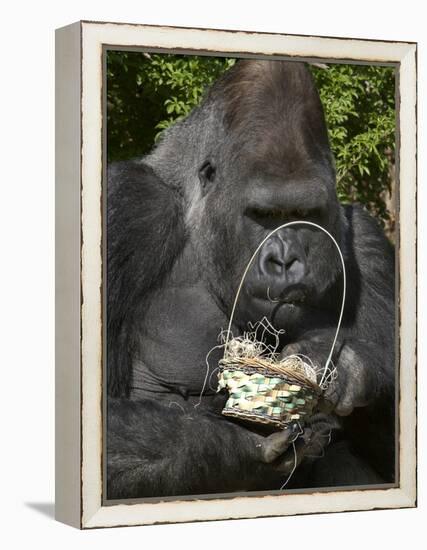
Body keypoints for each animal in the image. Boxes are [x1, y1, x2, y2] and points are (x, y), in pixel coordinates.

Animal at [106, 59, 394, 500]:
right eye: (264, 215)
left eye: (305, 214)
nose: (286, 260)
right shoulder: (127, 207)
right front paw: (247, 446)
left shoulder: (369, 245)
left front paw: (353, 366)